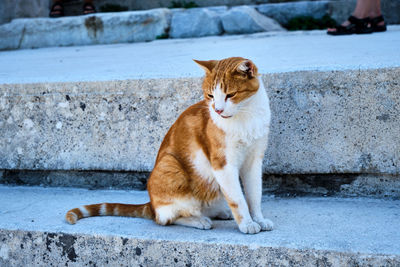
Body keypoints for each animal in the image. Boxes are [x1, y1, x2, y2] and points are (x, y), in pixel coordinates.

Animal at [65, 56, 274, 234]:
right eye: (210, 96)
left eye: (230, 95)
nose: (218, 110)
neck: (246, 116)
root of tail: (151, 204)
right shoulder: (223, 164)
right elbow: (238, 199)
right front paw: (247, 223)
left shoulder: (254, 161)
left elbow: (254, 194)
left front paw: (258, 219)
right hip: (170, 165)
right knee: (167, 218)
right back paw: (199, 220)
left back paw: (219, 212)